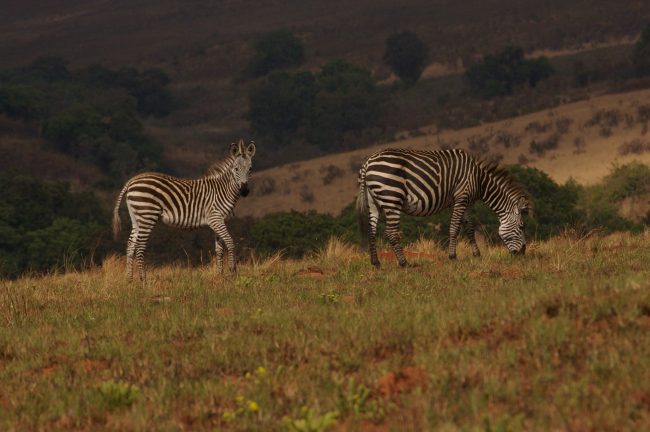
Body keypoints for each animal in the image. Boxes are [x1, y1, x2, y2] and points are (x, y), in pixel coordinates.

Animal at [110, 138, 254, 280]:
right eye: (236, 169)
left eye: (250, 169)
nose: (245, 190)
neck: (223, 190)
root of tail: (132, 180)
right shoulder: (215, 219)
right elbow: (230, 242)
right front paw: (233, 271)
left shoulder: (218, 221)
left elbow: (219, 249)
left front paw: (220, 275)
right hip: (147, 215)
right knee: (140, 246)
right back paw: (143, 280)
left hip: (136, 217)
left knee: (130, 244)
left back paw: (129, 279)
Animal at [354, 150, 532, 268]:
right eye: (522, 226)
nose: (523, 253)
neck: (479, 180)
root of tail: (368, 163)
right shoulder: (461, 198)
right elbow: (454, 227)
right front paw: (452, 256)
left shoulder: (465, 202)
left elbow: (469, 228)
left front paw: (477, 254)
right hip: (392, 197)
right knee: (390, 232)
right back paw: (404, 263)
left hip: (373, 201)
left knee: (371, 232)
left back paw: (376, 263)